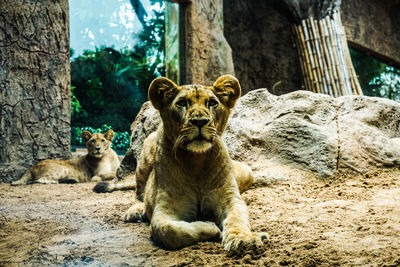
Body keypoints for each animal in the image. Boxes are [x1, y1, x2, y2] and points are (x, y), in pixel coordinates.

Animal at [123, 75, 268, 253]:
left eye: (212, 103)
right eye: (182, 103)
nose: (200, 121)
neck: (196, 161)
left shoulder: (230, 199)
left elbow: (237, 219)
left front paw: (244, 240)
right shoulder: (165, 208)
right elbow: (168, 231)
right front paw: (209, 226)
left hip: (248, 172)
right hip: (147, 149)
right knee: (139, 192)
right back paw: (136, 211)